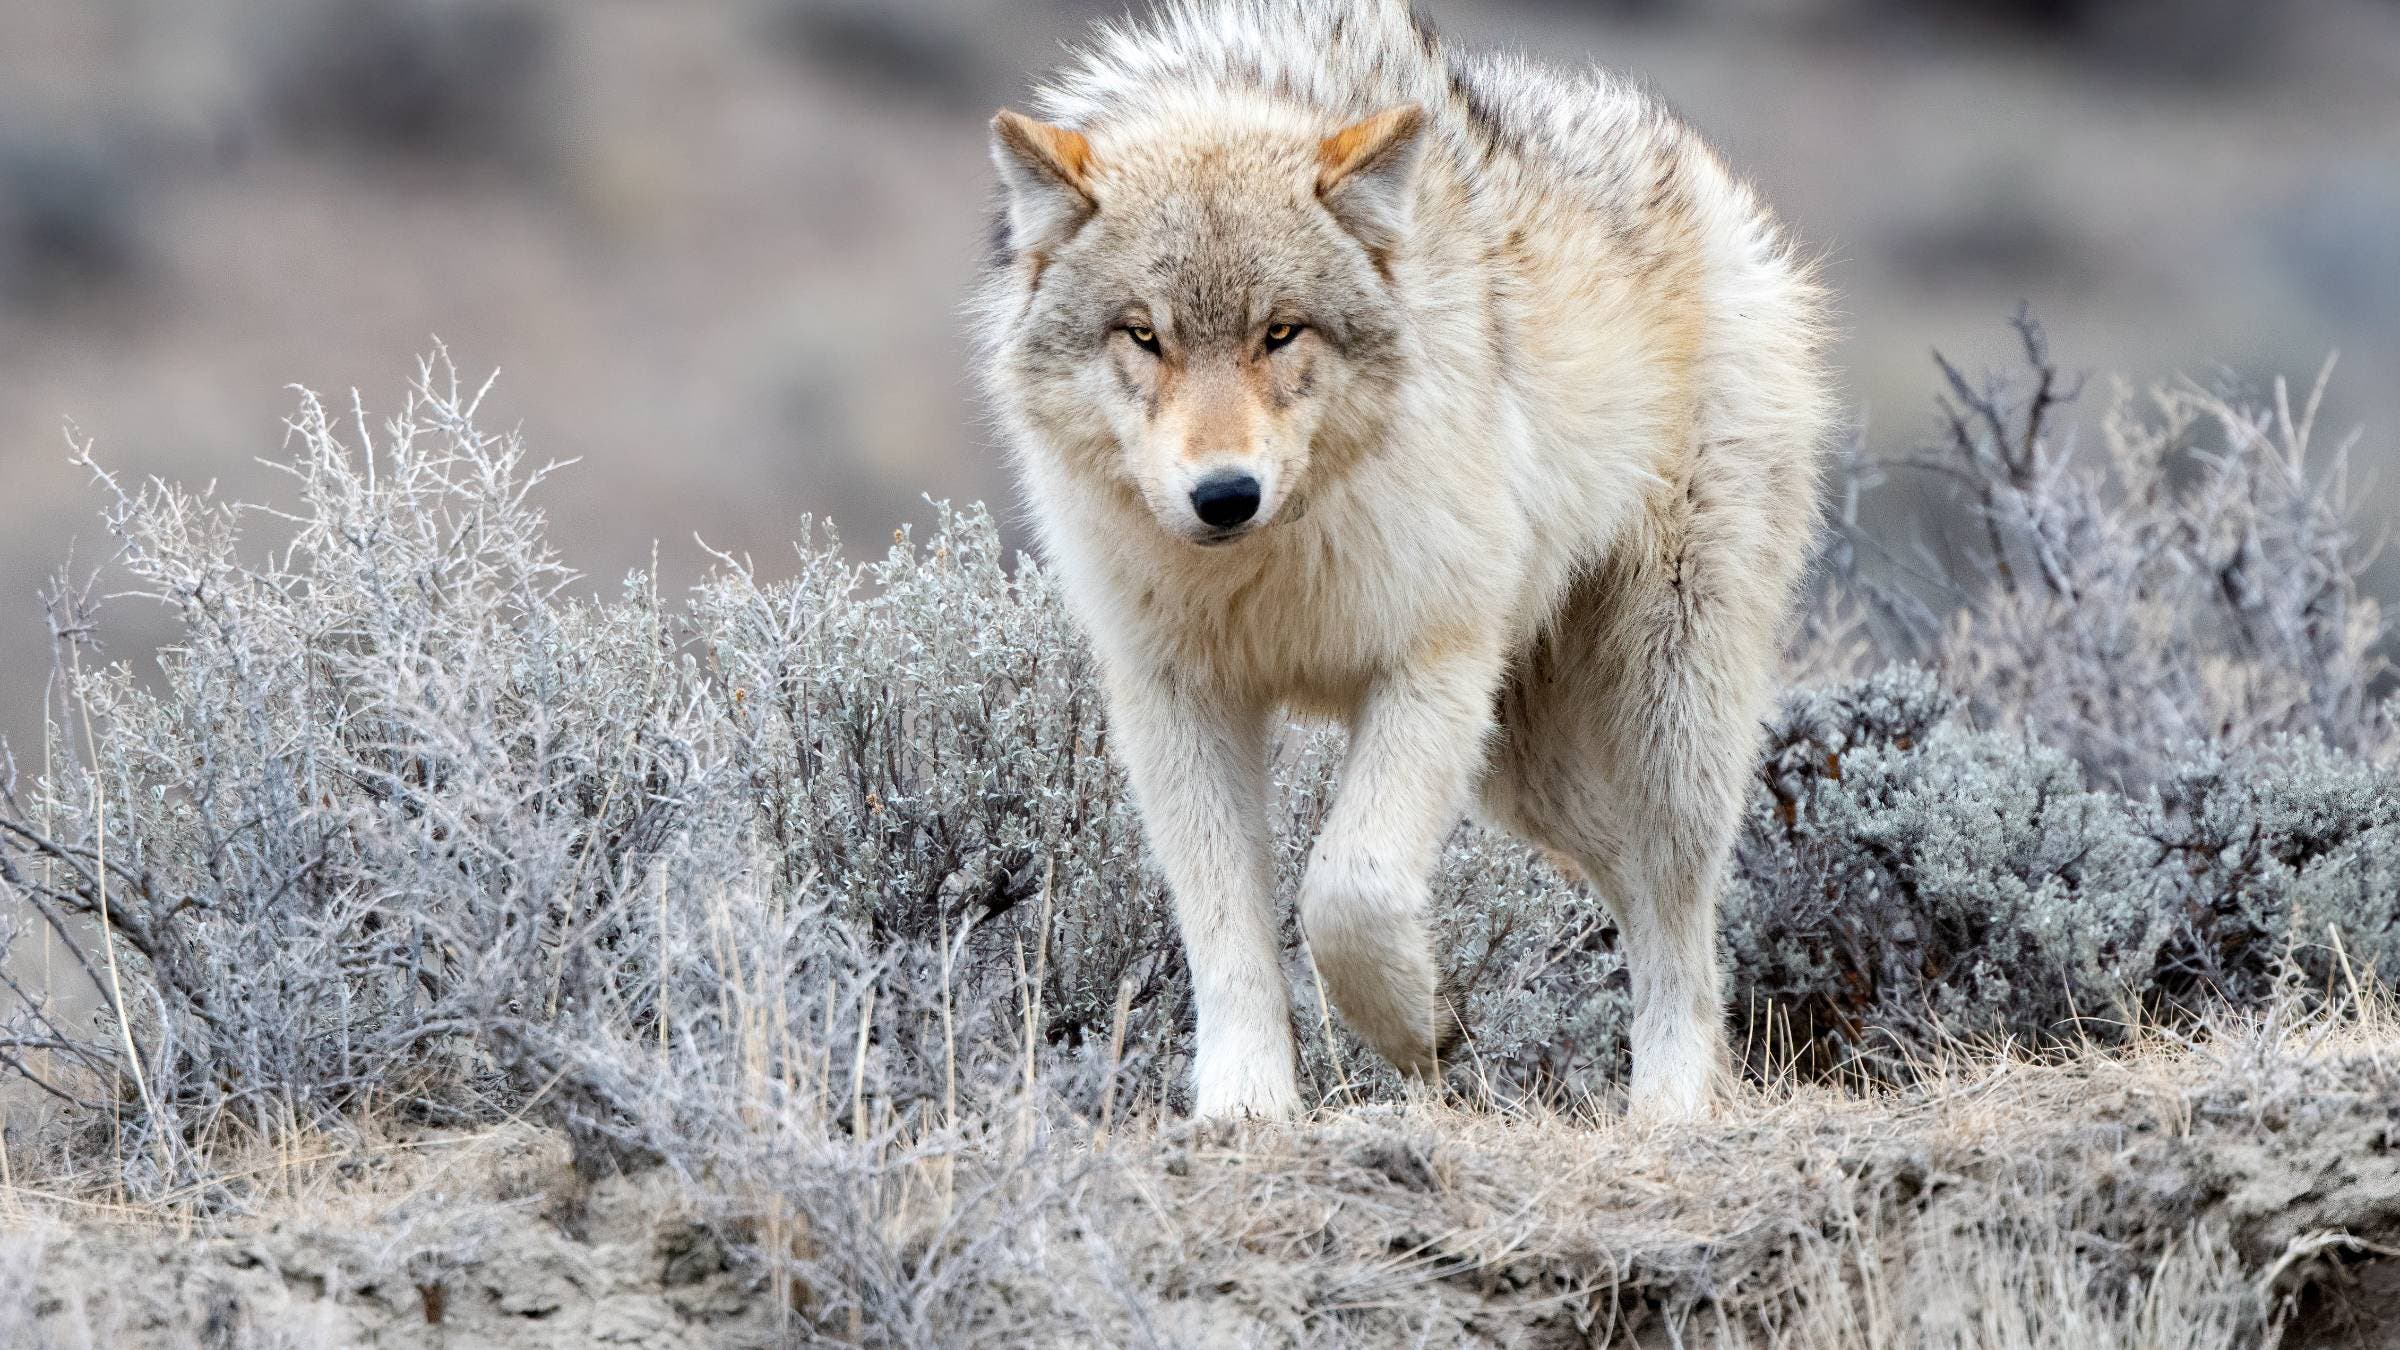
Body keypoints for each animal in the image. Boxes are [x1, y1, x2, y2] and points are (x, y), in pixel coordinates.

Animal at [976, 0, 1833, 1121]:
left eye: (1280, 332)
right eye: (1144, 337)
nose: (1224, 495)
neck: (1268, 569)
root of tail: (1708, 174)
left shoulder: (1434, 665)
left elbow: (1348, 890)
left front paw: (1410, 1025)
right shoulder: (1177, 699)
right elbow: (1227, 932)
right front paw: (1245, 1107)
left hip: (1663, 719)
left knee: (1679, 911)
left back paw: (1674, 1107)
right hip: (1529, 775)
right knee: (1625, 884)